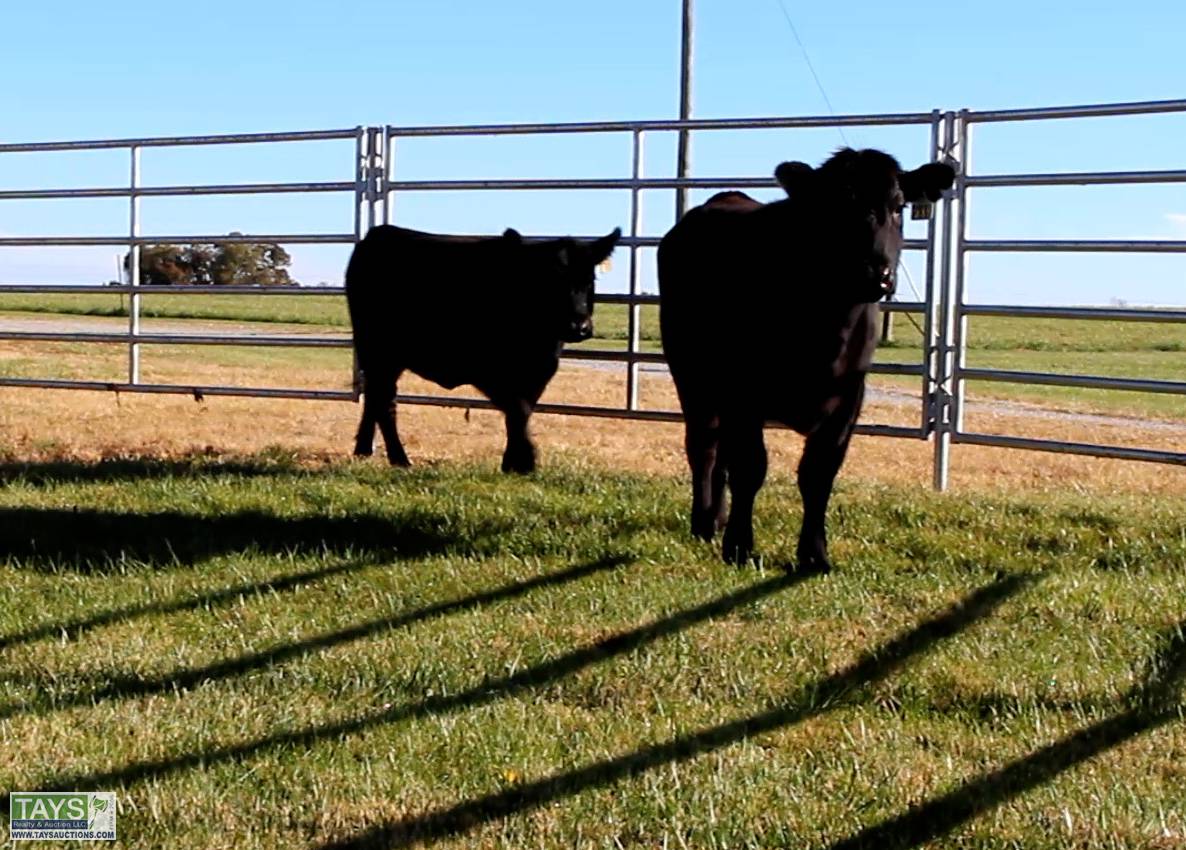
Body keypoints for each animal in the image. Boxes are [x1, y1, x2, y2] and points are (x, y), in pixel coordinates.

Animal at [346, 224, 621, 473]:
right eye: (550, 281)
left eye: (590, 280)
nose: (579, 326)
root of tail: (380, 232)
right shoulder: (491, 372)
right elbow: (518, 409)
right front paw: (524, 461)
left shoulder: (540, 371)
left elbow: (522, 411)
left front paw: (514, 462)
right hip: (380, 353)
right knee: (384, 402)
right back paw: (400, 459)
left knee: (375, 398)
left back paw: (363, 449)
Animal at [658, 148, 955, 571]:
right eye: (835, 207)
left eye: (898, 206)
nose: (877, 274)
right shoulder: (743, 391)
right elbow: (751, 467)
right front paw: (739, 545)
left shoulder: (849, 398)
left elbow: (818, 474)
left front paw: (814, 553)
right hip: (691, 374)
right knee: (705, 446)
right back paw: (704, 521)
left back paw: (717, 515)